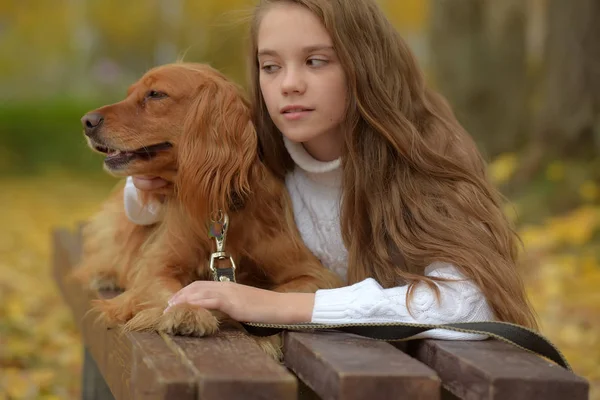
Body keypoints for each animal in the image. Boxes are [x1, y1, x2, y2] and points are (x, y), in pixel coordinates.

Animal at [71, 64, 342, 358]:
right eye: (130, 93)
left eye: (156, 94)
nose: (86, 121)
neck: (219, 204)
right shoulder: (156, 267)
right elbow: (169, 290)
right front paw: (188, 311)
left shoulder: (313, 274)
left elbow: (279, 296)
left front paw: (262, 336)